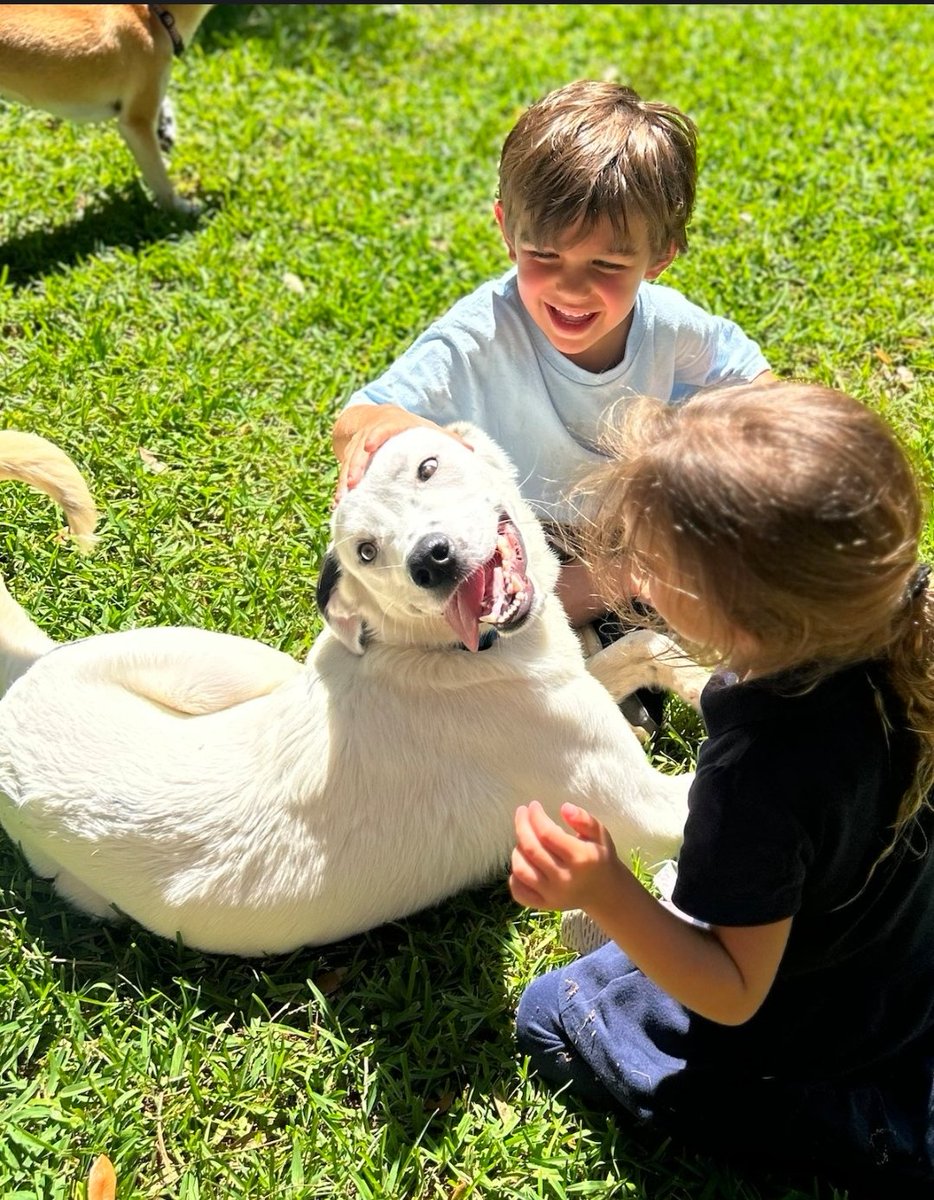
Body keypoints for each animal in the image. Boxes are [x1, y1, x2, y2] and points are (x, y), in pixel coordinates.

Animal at [0, 427, 705, 950]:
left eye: (427, 466)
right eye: (366, 551)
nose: (431, 560)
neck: (444, 654)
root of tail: (24, 680)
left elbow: (645, 644)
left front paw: (697, 679)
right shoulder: (646, 814)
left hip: (236, 666)